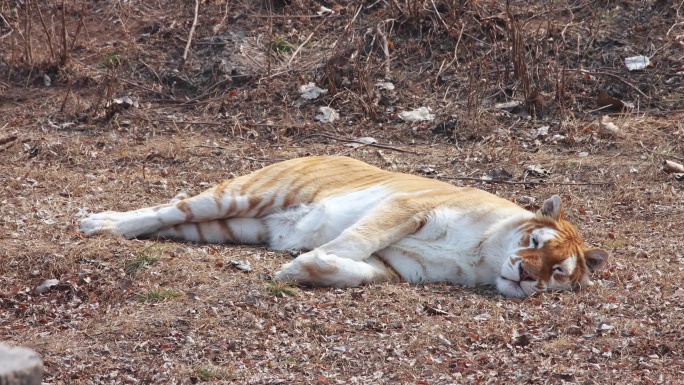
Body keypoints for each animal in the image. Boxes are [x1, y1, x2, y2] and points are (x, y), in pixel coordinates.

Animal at [79, 155, 608, 296]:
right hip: (241, 193)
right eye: (534, 241)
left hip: (229, 226)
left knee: (170, 224)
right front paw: (300, 264)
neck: (483, 258)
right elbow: (355, 239)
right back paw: (99, 224)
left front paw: (301, 269)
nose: (525, 275)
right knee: (169, 208)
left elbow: (356, 270)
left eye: (558, 272)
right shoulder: (406, 209)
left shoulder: (397, 267)